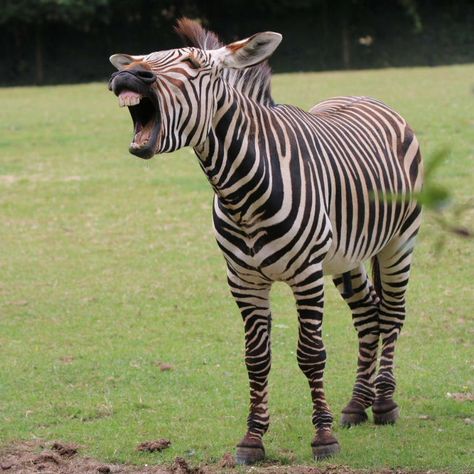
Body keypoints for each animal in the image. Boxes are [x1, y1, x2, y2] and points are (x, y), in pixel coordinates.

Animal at [109, 18, 424, 462]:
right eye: (143, 59)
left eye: (193, 64)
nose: (129, 75)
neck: (240, 192)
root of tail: (365, 96)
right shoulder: (243, 280)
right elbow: (256, 359)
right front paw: (252, 440)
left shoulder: (307, 275)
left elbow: (311, 355)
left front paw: (323, 437)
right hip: (346, 255)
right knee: (368, 314)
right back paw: (356, 405)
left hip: (399, 240)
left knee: (392, 313)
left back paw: (384, 404)